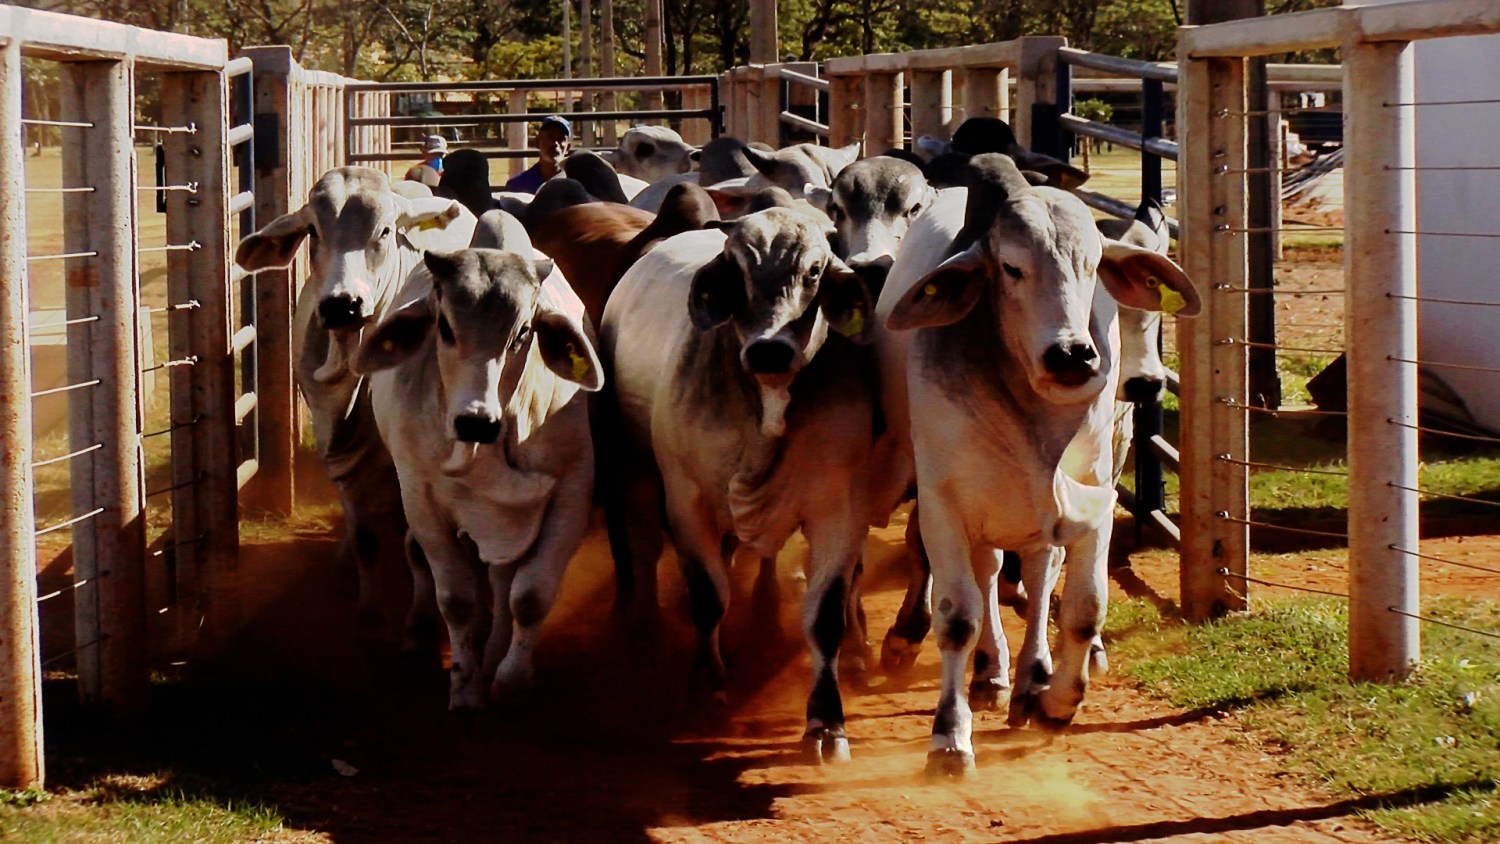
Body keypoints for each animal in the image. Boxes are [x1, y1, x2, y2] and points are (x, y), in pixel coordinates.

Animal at [351, 209, 603, 707]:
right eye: (445, 327)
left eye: (523, 332)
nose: (475, 421)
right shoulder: (421, 498)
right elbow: (458, 599)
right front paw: (465, 688)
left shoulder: (572, 491)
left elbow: (529, 595)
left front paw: (510, 677)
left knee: (504, 582)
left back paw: (494, 651)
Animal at [597, 206, 876, 767]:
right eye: (737, 271)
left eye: (814, 272)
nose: (770, 350)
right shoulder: (687, 502)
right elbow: (707, 597)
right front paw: (707, 685)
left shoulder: (841, 512)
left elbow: (825, 618)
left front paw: (827, 721)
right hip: (634, 472)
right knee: (641, 552)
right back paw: (644, 633)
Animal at [876, 153, 1200, 779]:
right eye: (1011, 268)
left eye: (1094, 264)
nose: (1072, 355)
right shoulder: (945, 504)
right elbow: (958, 616)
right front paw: (949, 737)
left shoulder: (1092, 499)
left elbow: (1083, 606)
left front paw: (1058, 701)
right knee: (984, 578)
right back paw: (991, 672)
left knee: (1037, 571)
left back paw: (1029, 678)